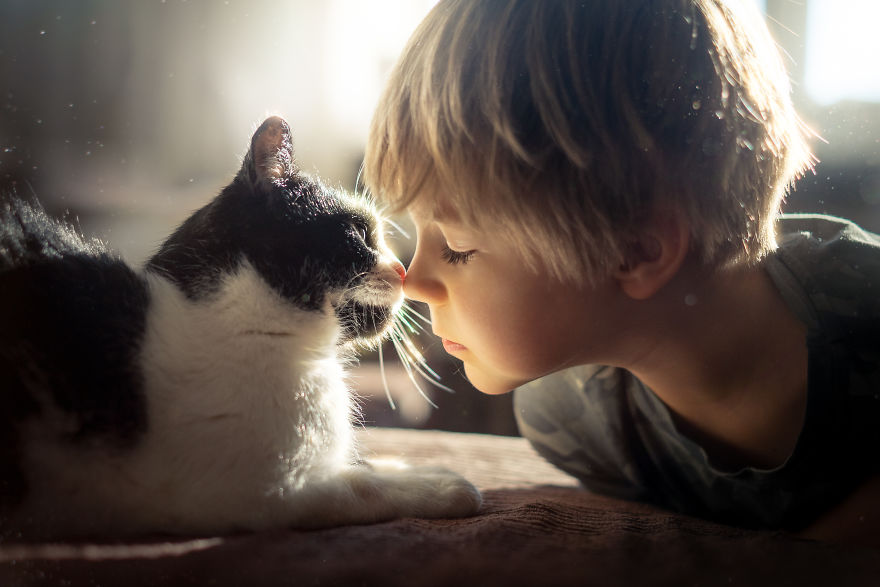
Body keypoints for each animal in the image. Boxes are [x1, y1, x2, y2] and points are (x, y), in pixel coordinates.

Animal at [0, 117, 482, 540]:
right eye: (360, 233)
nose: (402, 269)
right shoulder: (269, 492)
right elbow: (363, 487)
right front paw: (449, 485)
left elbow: (368, 466)